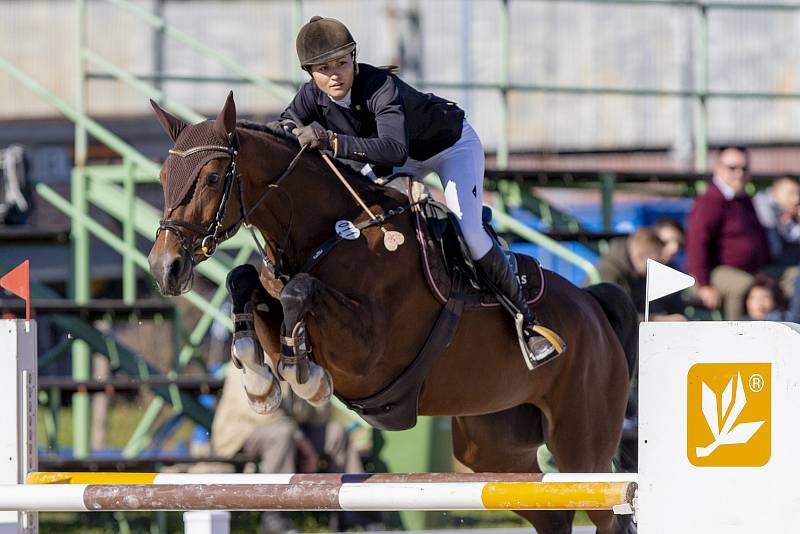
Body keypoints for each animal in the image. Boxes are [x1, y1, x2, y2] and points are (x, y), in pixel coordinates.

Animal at [147, 94, 636, 532]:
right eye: (163, 175)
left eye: (212, 178)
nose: (164, 267)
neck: (331, 233)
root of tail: (594, 307)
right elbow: (244, 281)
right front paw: (259, 381)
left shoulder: (369, 360)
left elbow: (301, 295)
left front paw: (306, 379)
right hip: (494, 449)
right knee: (551, 513)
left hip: (580, 444)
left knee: (607, 512)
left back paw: (534, 338)